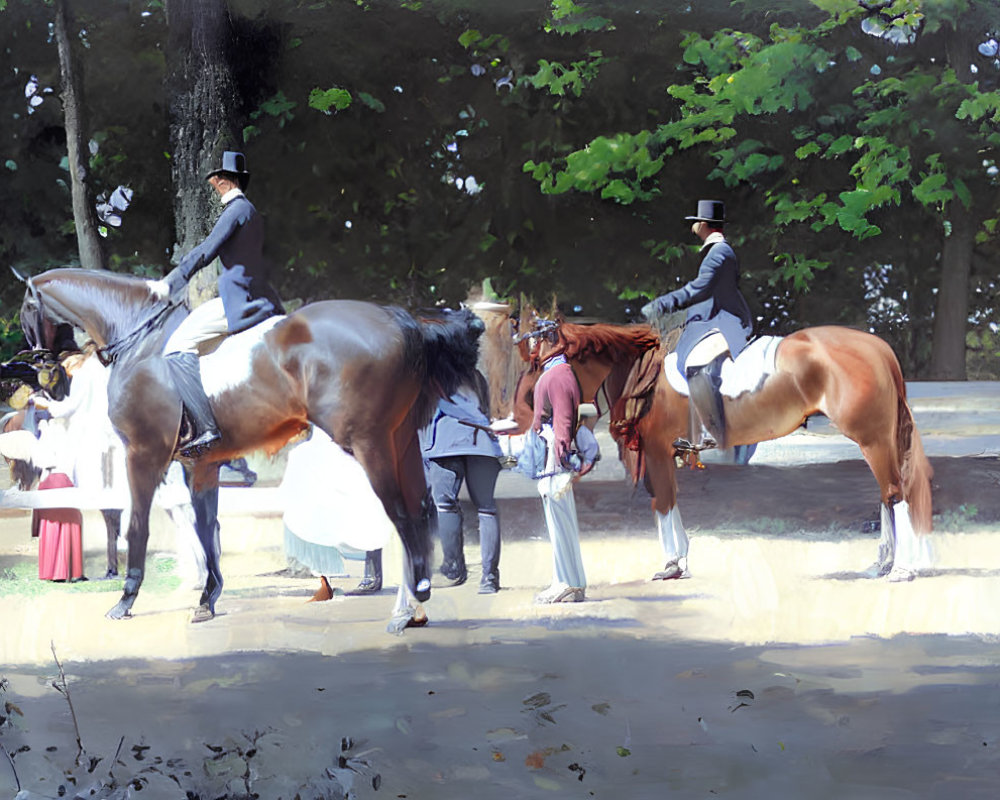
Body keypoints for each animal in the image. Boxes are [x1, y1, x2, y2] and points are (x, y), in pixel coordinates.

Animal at [17, 268, 482, 624]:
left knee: (400, 515)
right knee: (420, 509)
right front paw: (207, 599)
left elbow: (138, 527)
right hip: (400, 439)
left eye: (26, 309)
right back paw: (418, 600)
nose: (39, 366)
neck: (141, 343)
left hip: (369, 442)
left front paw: (126, 599)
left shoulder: (143, 455)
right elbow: (207, 528)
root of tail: (401, 319)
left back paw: (407, 607)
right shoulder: (200, 463)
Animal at [504, 316, 932, 584]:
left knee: (895, 494)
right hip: (874, 440)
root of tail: (877, 346)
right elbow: (666, 502)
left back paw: (901, 569)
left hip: (872, 439)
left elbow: (663, 502)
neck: (644, 373)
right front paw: (678, 561)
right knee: (887, 495)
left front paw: (672, 564)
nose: (519, 415)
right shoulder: (663, 453)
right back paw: (883, 563)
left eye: (539, 365)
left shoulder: (656, 451)